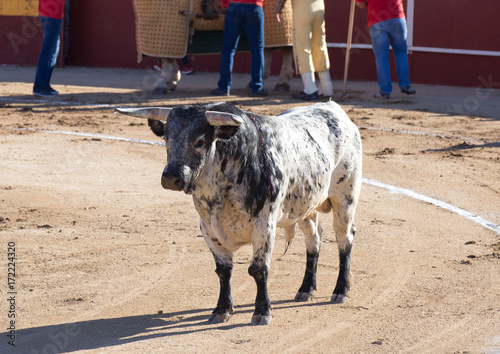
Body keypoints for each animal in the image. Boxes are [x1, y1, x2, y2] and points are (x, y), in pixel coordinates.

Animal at [115, 101, 362, 324]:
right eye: (166, 138)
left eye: (200, 141)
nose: (171, 178)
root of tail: (335, 109)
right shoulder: (209, 229)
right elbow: (223, 271)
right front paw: (222, 310)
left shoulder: (264, 226)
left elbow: (258, 270)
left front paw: (262, 311)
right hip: (304, 206)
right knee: (314, 239)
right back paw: (306, 289)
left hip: (345, 198)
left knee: (344, 239)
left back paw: (341, 290)